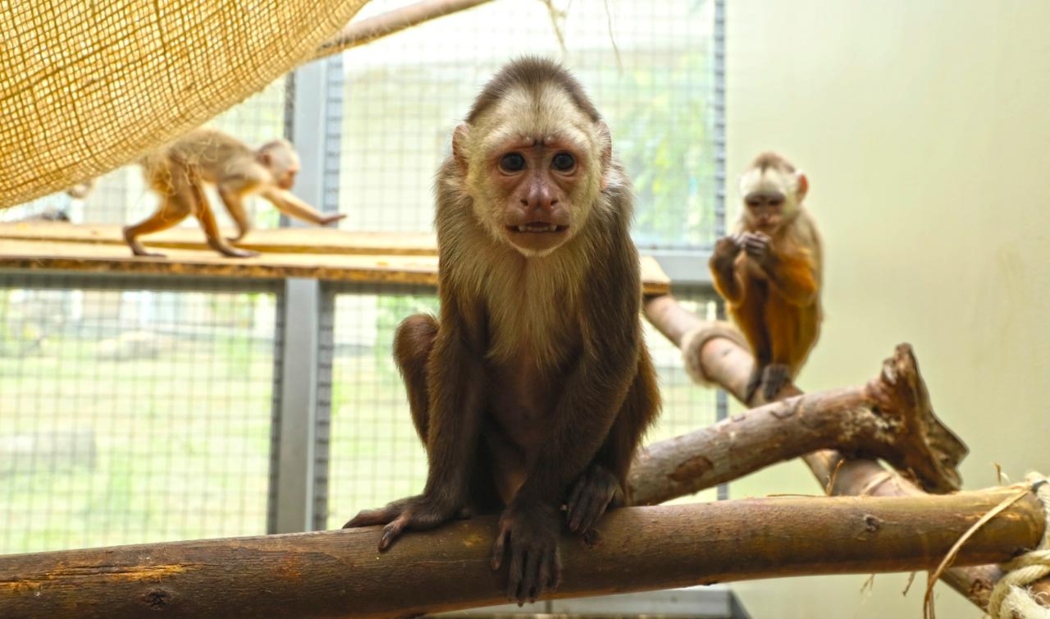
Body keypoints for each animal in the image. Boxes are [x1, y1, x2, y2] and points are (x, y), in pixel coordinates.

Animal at [340, 55, 659, 608]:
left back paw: (601, 483)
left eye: (562, 162)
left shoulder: (607, 217)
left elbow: (610, 355)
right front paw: (437, 505)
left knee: (626, 348)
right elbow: (460, 346)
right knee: (417, 333)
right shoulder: (454, 210)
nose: (539, 198)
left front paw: (533, 512)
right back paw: (474, 505)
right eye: (513, 163)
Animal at [709, 154, 823, 407]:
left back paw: (779, 365)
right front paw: (723, 258)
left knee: (782, 293)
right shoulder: (741, 224)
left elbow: (807, 293)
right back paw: (762, 359)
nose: (764, 216)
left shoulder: (799, 228)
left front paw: (766, 256)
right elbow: (737, 295)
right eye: (755, 203)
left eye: (773, 202)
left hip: (806, 343)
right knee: (748, 279)